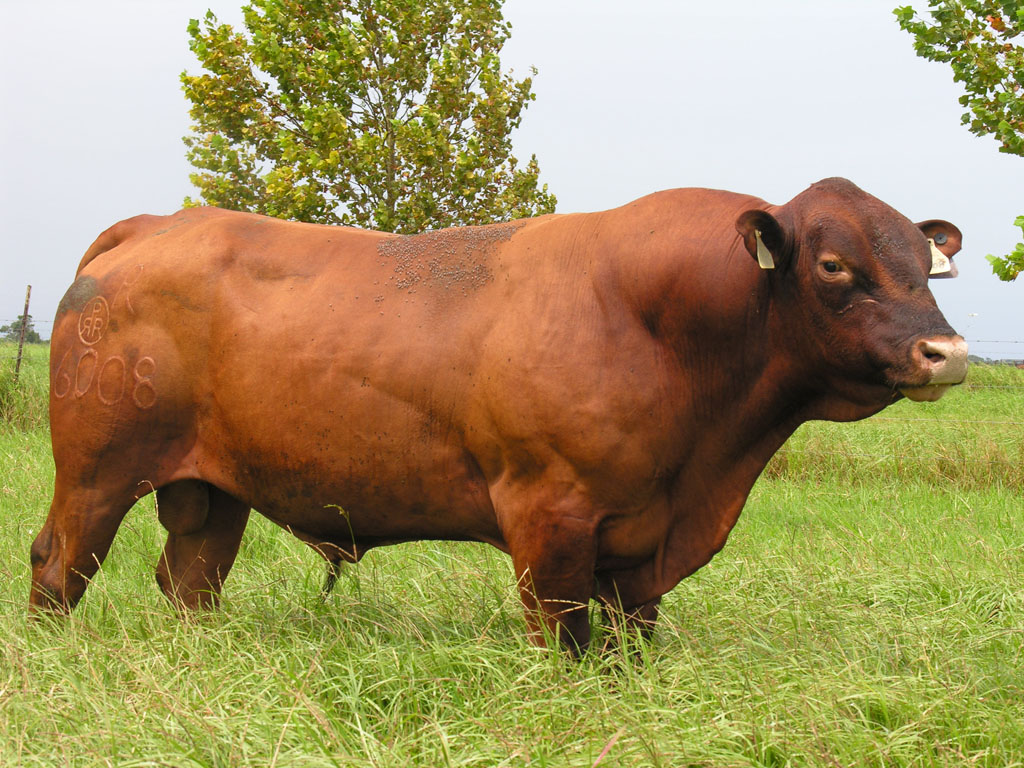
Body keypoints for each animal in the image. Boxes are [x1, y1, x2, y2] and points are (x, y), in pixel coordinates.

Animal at [31, 178, 967, 654]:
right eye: (836, 265)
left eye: (928, 266)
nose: (946, 350)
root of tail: (157, 223)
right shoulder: (549, 514)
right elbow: (564, 638)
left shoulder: (640, 546)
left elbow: (630, 639)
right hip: (97, 471)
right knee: (59, 565)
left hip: (211, 488)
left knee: (191, 580)